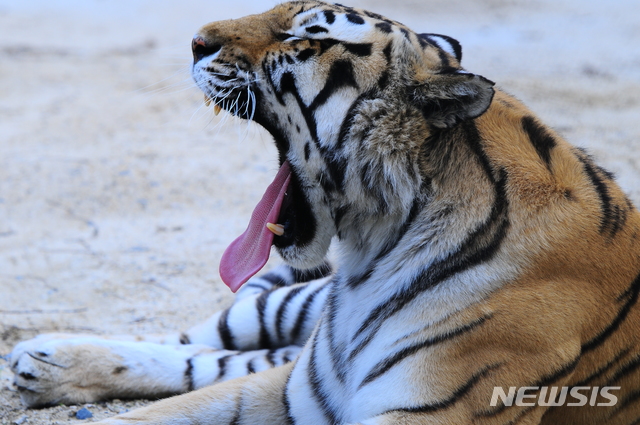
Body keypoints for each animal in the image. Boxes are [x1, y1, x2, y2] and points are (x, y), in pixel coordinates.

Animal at [7, 0, 640, 422]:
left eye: (306, 36)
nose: (194, 41)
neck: (375, 250)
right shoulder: (298, 392)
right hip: (291, 316)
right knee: (203, 340)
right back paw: (46, 357)